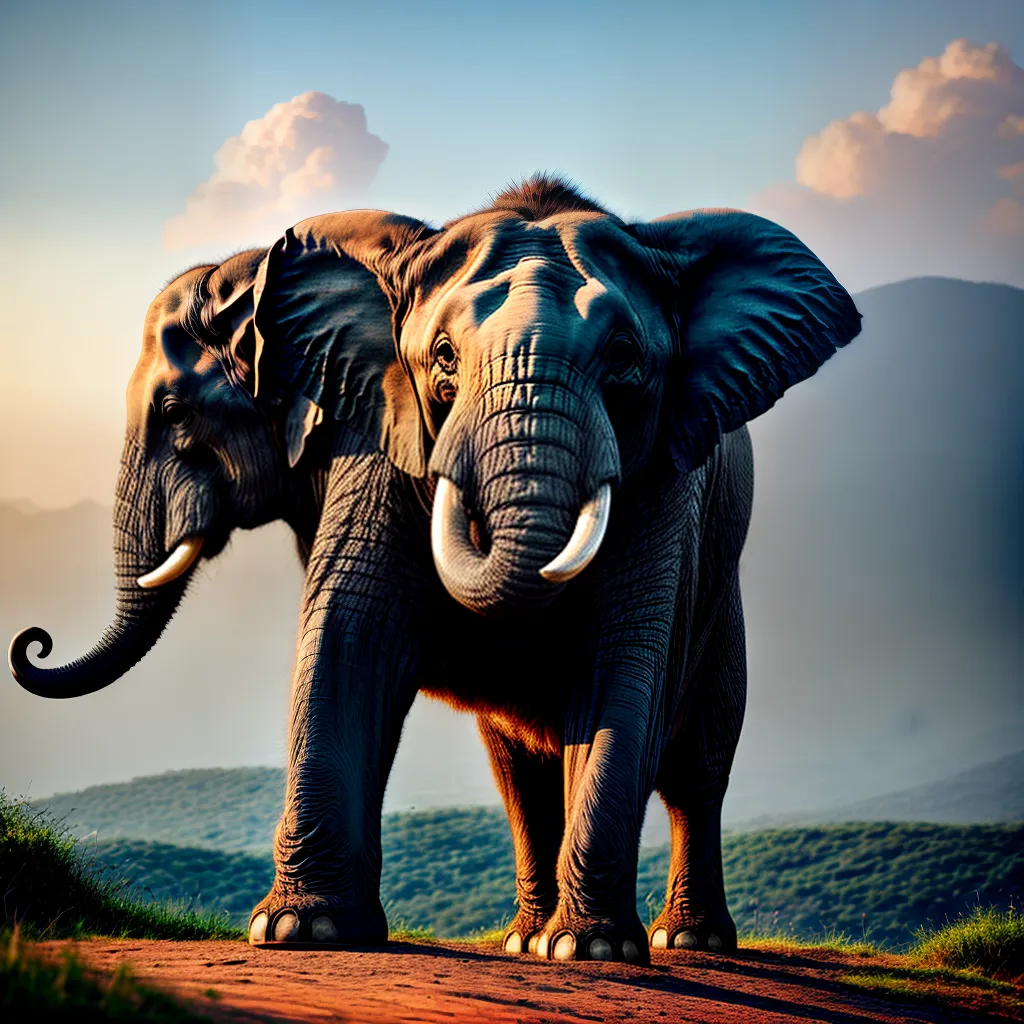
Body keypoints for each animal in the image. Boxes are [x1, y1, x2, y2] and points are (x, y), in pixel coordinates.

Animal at [10, 175, 860, 965]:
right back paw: (525, 940)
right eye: (444, 359)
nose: (33, 643)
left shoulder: (665, 475)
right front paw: (303, 932)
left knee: (694, 768)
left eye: (624, 361)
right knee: (521, 777)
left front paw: (592, 951)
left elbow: (625, 662)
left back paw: (682, 942)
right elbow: (350, 637)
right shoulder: (378, 432)